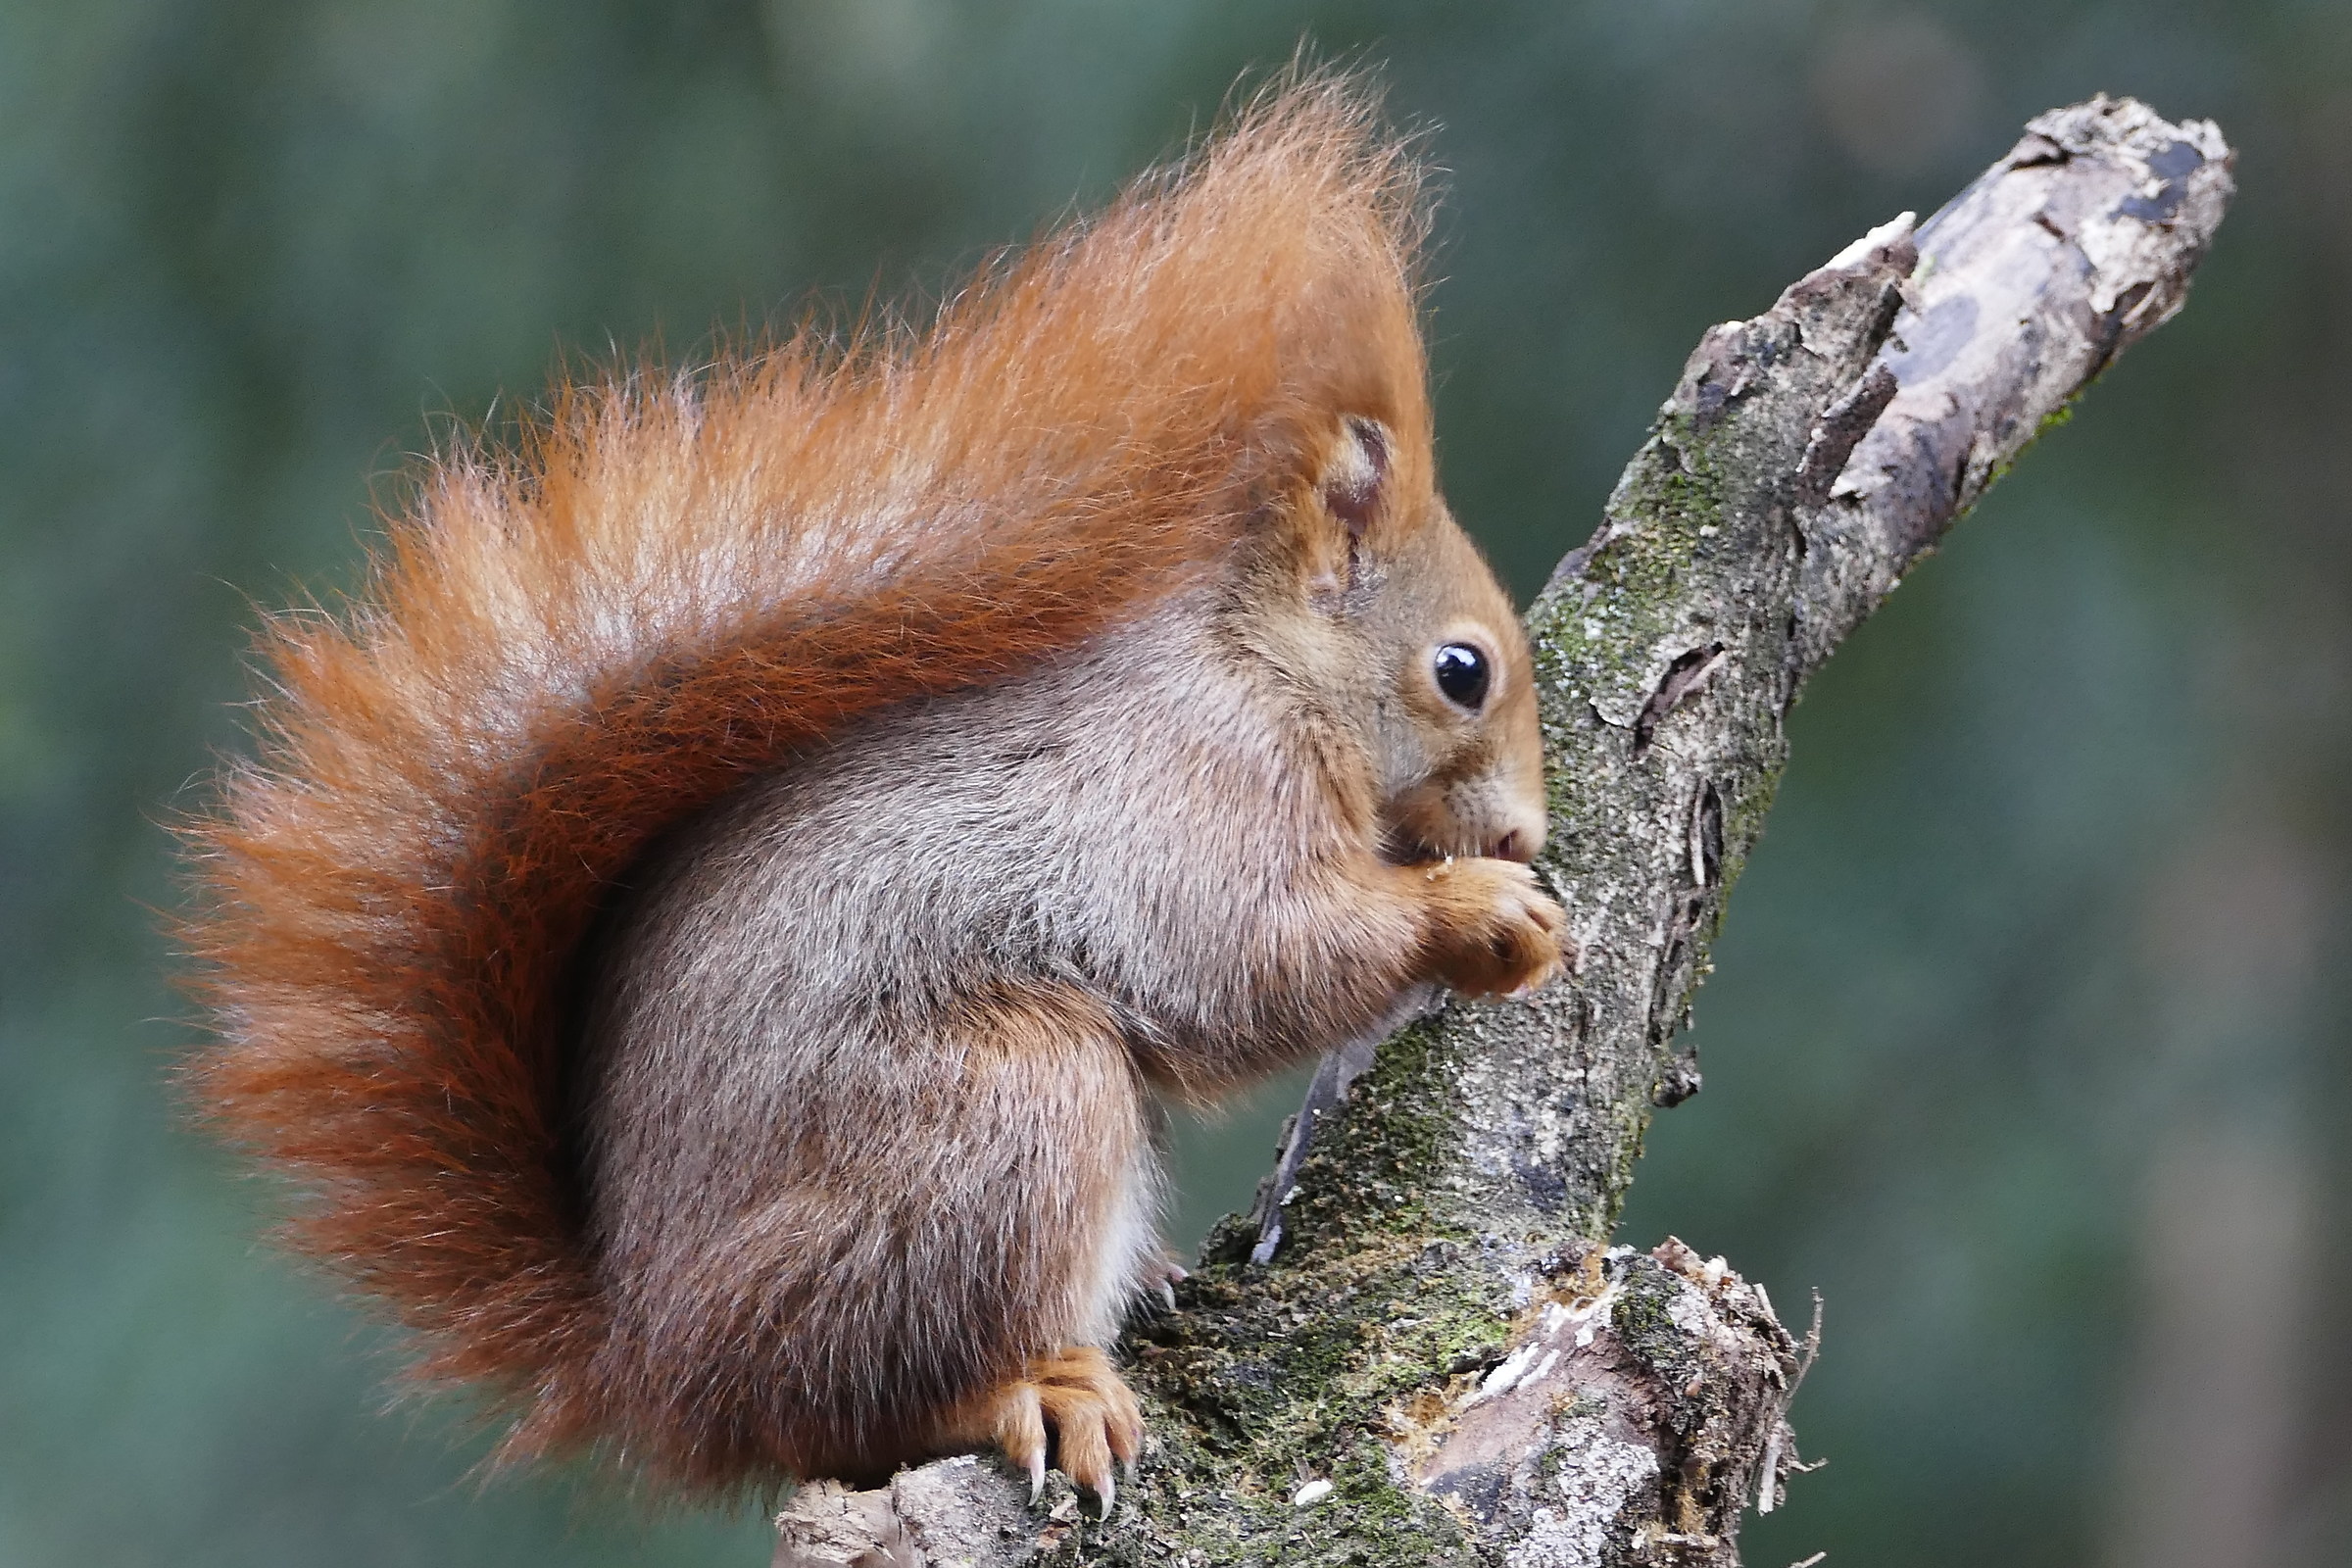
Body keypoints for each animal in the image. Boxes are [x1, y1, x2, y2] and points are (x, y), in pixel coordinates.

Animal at [181, 76, 1564, 1509]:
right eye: (1462, 671)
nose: (1528, 829)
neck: (1268, 673)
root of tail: (657, 1365)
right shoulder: (1193, 801)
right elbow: (1255, 961)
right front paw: (1482, 914)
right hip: (994, 1113)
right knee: (867, 1402)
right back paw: (1037, 1385)